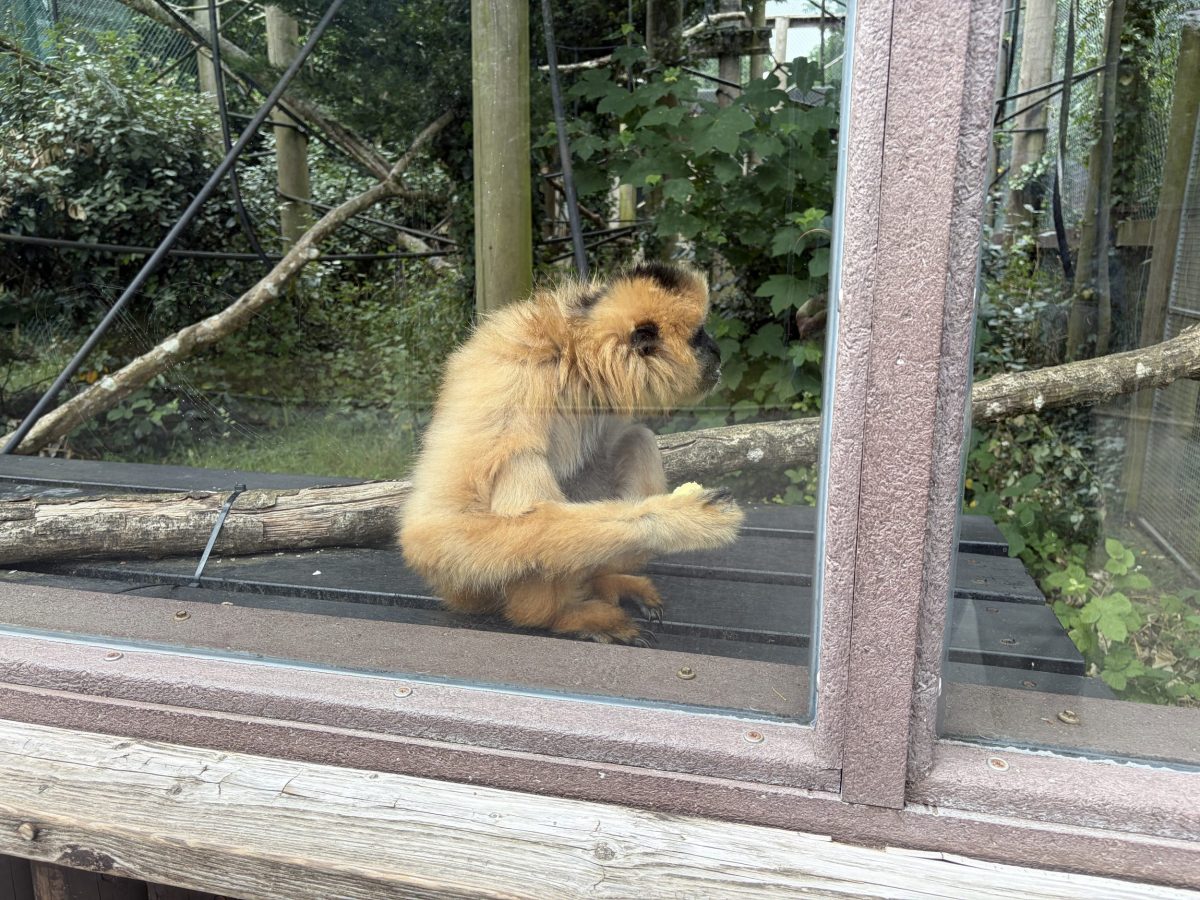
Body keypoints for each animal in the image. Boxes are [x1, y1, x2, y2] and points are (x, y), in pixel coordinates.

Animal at [399, 261, 743, 645]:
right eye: (699, 335)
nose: (716, 349)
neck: (575, 356)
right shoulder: (514, 377)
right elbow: (438, 528)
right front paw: (678, 519)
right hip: (475, 586)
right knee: (520, 464)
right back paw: (557, 615)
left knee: (637, 439)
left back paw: (602, 580)